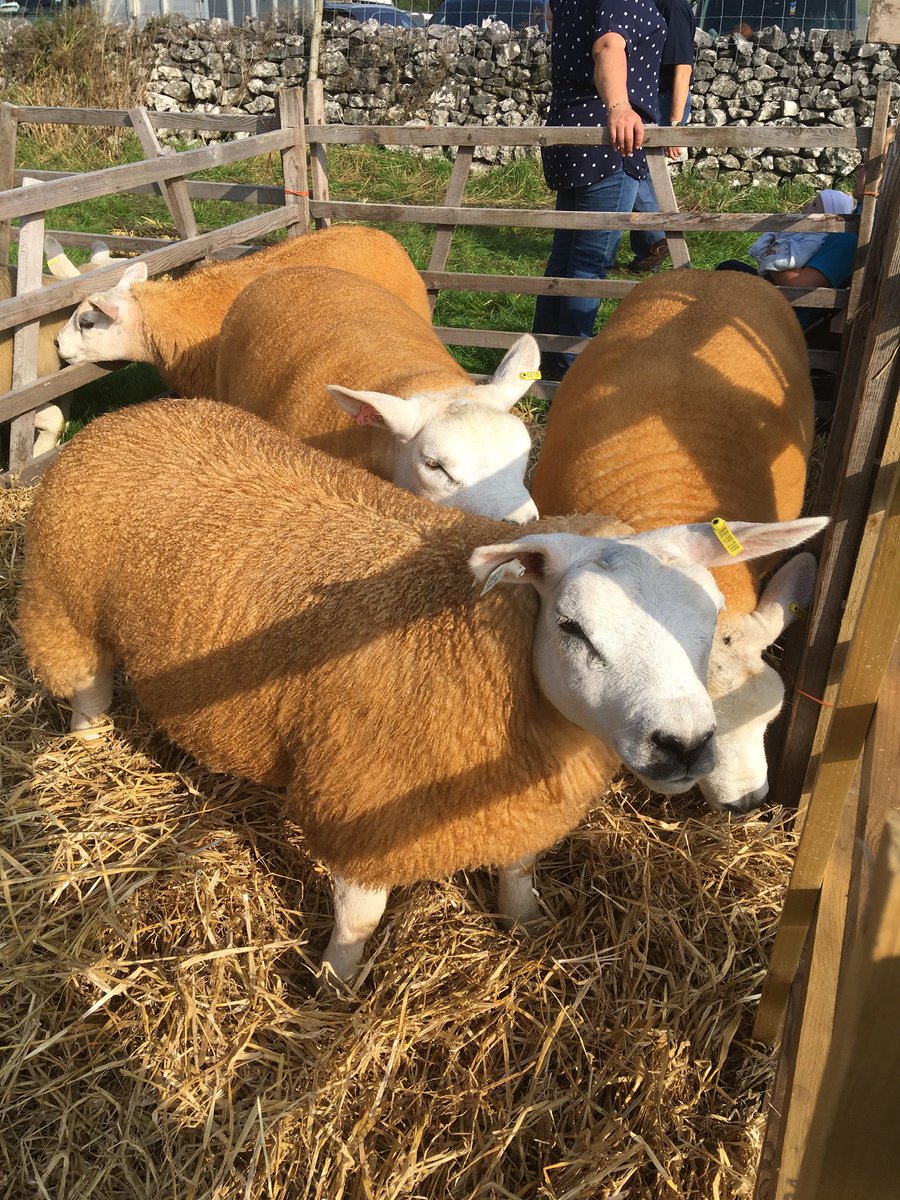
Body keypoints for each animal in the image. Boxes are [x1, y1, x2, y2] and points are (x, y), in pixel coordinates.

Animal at [18, 397, 827, 979]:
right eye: (571, 626)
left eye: (710, 616)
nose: (684, 744)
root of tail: (133, 412)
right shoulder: (361, 802)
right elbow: (358, 922)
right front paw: (335, 987)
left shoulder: (516, 801)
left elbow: (520, 868)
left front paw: (526, 924)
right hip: (63, 605)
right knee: (87, 689)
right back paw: (84, 750)